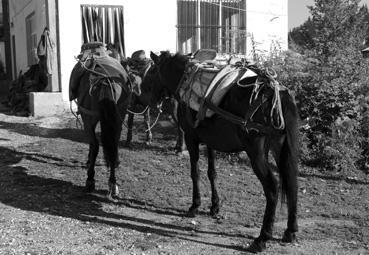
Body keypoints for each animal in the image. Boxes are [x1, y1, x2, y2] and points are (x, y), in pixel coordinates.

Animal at [147, 51, 300, 253]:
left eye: (151, 73)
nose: (149, 99)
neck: (185, 78)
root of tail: (276, 95)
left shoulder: (191, 137)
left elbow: (195, 172)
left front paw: (195, 206)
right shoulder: (211, 141)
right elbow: (212, 173)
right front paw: (214, 206)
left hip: (257, 154)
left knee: (273, 187)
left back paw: (262, 238)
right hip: (282, 150)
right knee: (292, 182)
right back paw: (290, 231)